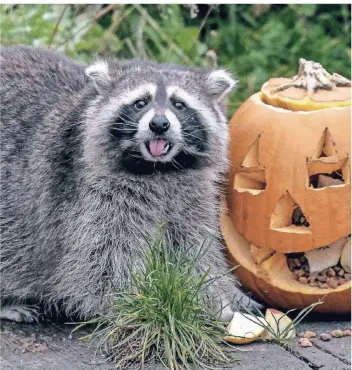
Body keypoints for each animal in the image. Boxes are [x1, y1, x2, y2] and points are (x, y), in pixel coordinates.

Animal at [0, 47, 253, 324]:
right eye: (140, 102)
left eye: (179, 104)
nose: (159, 124)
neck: (158, 170)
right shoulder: (91, 195)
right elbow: (103, 259)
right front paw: (134, 304)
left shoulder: (191, 193)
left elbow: (194, 247)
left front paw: (213, 295)